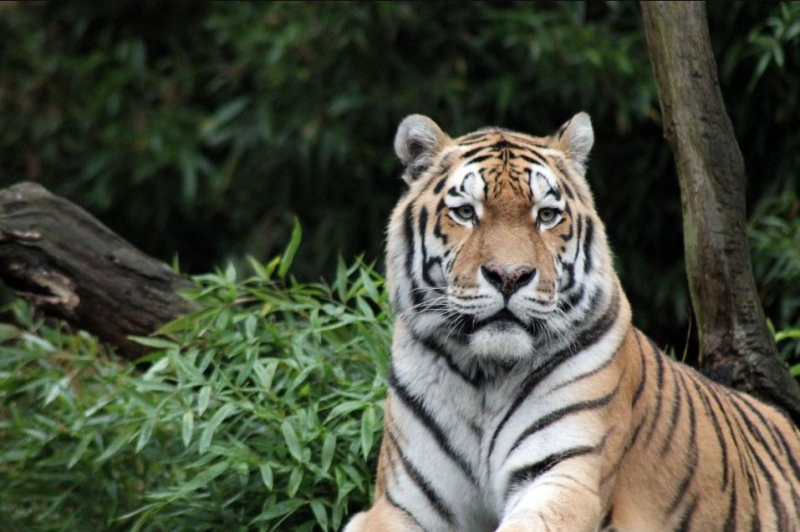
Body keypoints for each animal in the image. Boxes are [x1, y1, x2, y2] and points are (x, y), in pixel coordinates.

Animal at [346, 110, 800, 528]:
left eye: (546, 215)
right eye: (465, 212)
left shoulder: (563, 473)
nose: (509, 276)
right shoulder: (404, 504)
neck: (485, 378)